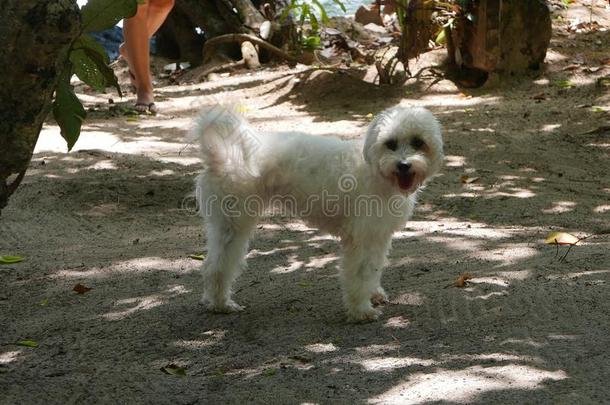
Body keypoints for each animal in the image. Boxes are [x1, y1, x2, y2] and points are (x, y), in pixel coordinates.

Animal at [195, 105, 442, 322]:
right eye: (390, 143)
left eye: (418, 142)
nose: (404, 165)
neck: (377, 171)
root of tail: (222, 156)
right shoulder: (360, 240)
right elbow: (359, 275)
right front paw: (361, 311)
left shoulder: (378, 237)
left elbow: (373, 269)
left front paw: (374, 295)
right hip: (233, 227)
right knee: (217, 267)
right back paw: (221, 304)